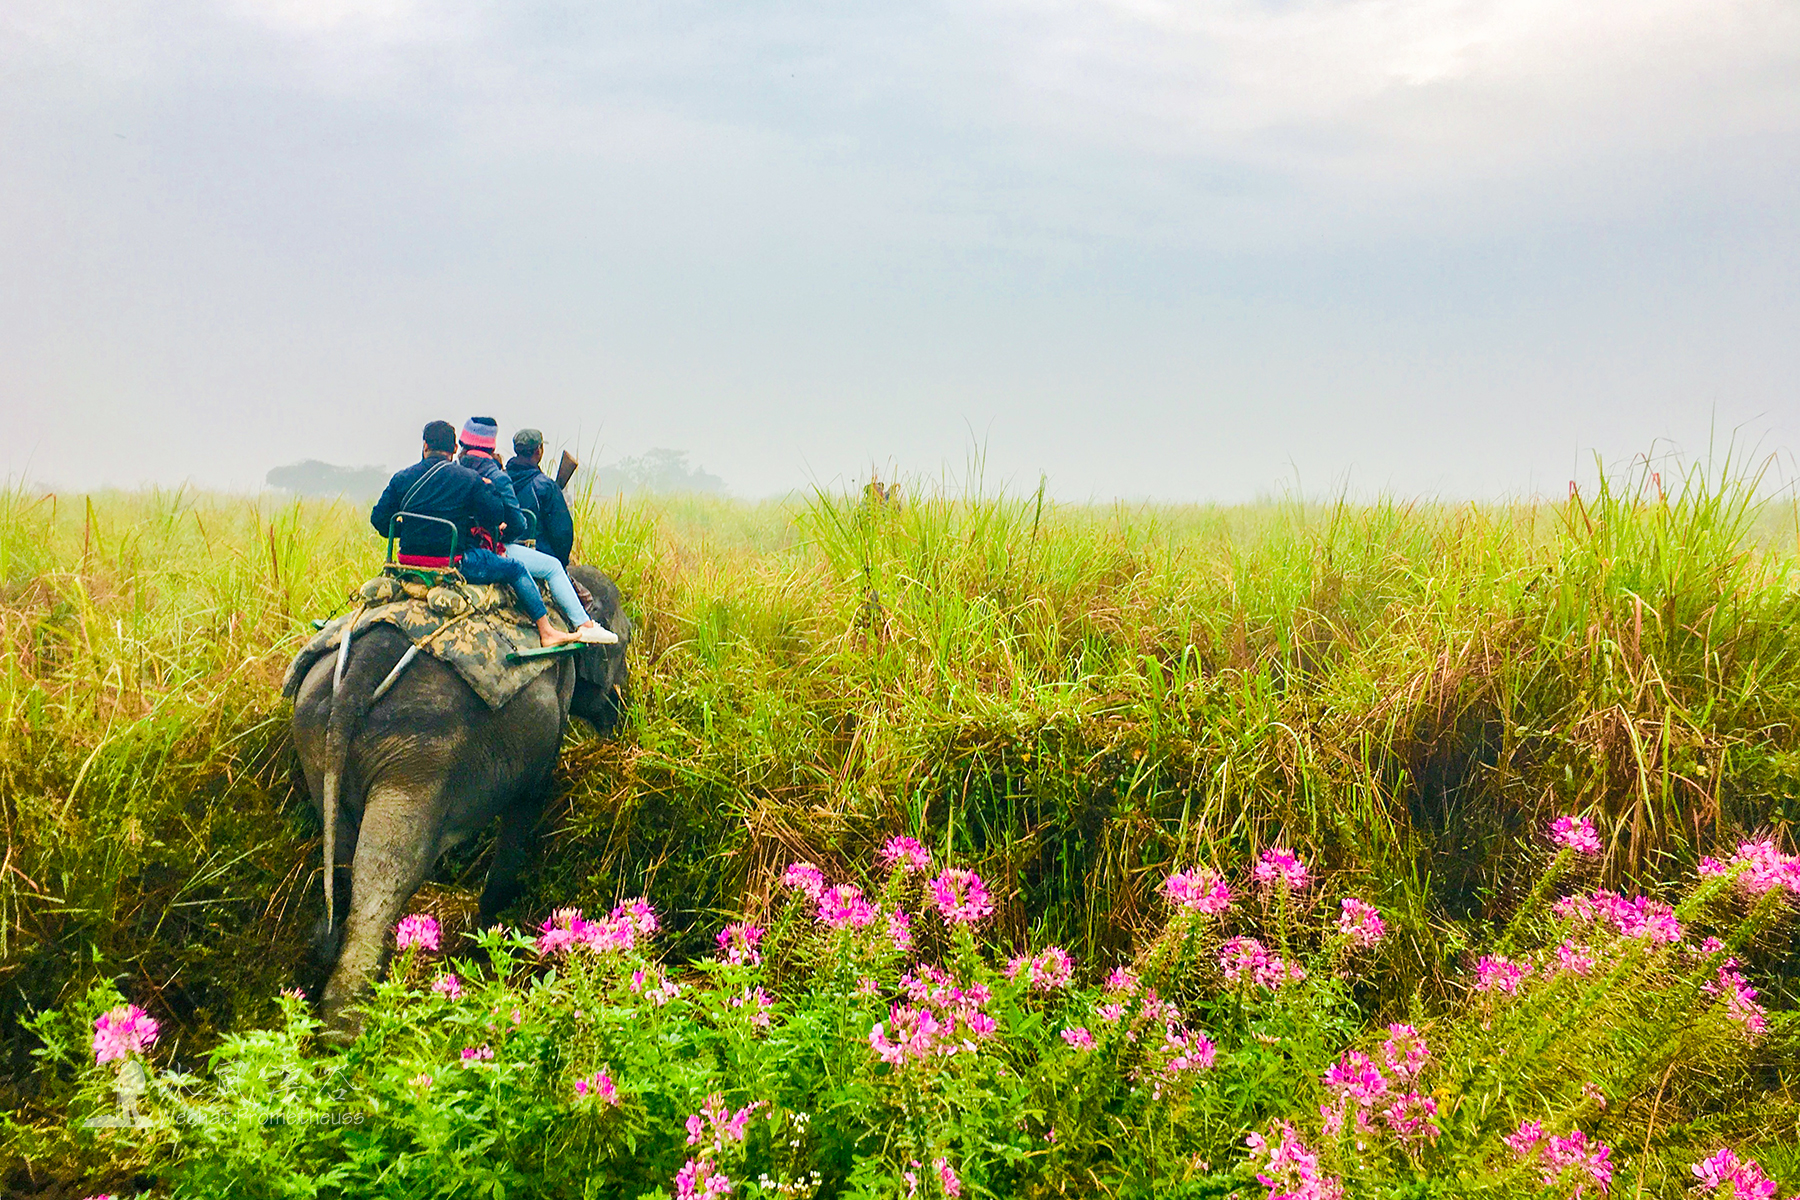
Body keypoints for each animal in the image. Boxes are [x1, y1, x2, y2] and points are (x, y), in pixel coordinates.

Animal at [289, 561, 633, 1021]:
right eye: (624, 643)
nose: (622, 714)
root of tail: (363, 664)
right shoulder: (551, 722)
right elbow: (528, 803)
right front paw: (490, 937)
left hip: (313, 734)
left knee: (342, 854)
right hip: (421, 749)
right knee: (386, 869)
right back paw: (348, 1015)